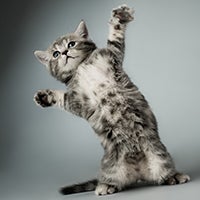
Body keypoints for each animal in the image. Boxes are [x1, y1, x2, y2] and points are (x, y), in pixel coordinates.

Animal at [34, 4, 191, 195]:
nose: (64, 52)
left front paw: (120, 16)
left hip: (159, 155)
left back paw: (174, 176)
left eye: (72, 44)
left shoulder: (112, 55)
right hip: (111, 167)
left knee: (164, 172)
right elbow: (63, 99)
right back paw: (105, 186)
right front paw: (45, 97)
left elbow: (115, 36)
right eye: (56, 54)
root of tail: (138, 172)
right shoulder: (78, 100)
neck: (81, 67)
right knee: (112, 180)